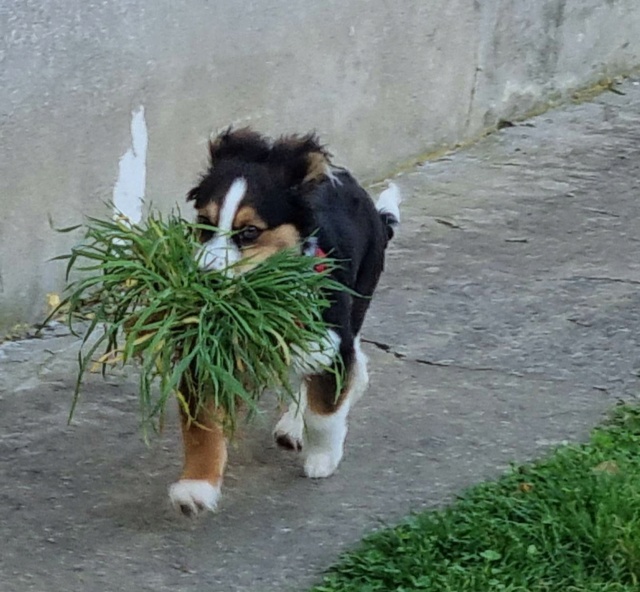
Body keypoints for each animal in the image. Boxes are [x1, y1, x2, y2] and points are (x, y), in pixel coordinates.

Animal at [169, 128, 400, 512]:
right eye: (204, 223)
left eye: (249, 232)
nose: (204, 281)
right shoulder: (207, 355)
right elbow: (203, 429)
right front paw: (196, 488)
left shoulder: (328, 344)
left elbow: (324, 413)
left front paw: (322, 457)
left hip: (355, 300)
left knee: (345, 362)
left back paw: (300, 422)